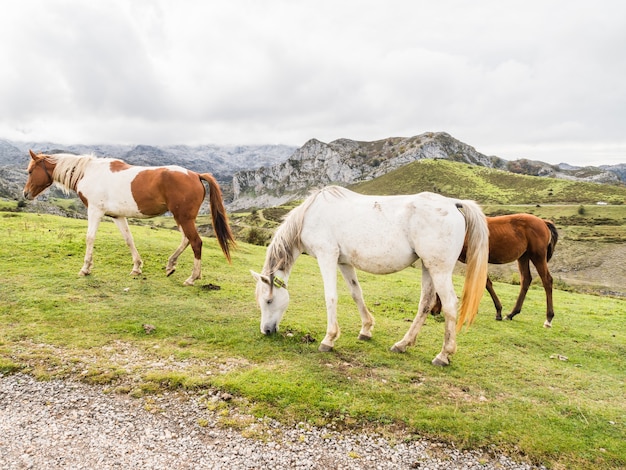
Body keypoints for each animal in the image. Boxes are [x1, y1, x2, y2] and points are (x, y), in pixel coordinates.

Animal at [23, 150, 235, 286]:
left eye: (30, 171)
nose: (25, 194)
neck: (89, 173)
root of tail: (196, 175)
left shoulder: (95, 211)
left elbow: (90, 238)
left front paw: (85, 269)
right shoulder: (117, 216)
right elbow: (128, 239)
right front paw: (137, 267)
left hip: (183, 217)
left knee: (196, 242)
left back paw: (192, 278)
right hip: (181, 218)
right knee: (186, 239)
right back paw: (170, 265)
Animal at [249, 185, 488, 366]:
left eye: (268, 300)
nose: (266, 331)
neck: (310, 215)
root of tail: (453, 203)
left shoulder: (327, 256)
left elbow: (331, 297)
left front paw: (329, 339)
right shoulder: (343, 262)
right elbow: (357, 293)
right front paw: (366, 329)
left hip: (439, 270)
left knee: (449, 305)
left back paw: (443, 355)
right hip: (428, 267)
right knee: (426, 303)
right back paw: (402, 344)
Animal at [432, 213, 560, 326]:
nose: (433, 311)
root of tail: (543, 222)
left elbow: (484, 282)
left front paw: (497, 311)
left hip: (538, 256)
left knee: (547, 280)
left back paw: (548, 319)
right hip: (523, 257)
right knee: (526, 280)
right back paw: (511, 314)